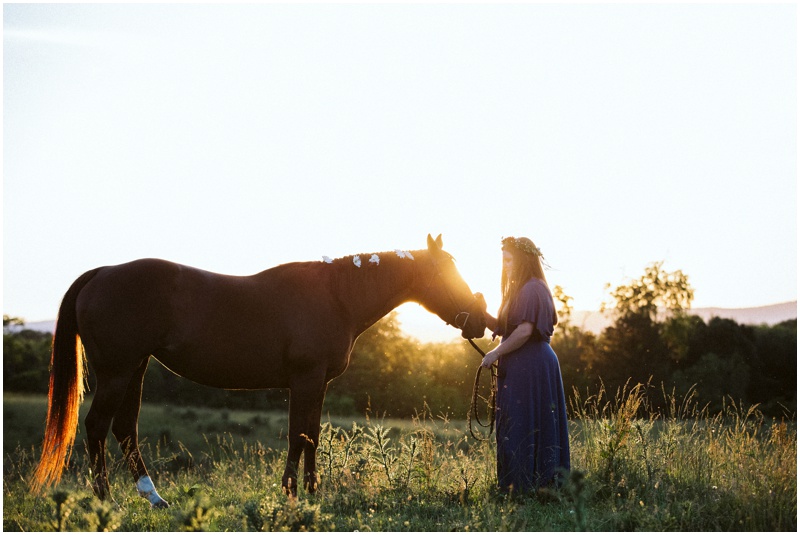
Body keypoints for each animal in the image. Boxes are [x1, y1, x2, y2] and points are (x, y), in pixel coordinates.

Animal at [31, 234, 488, 506]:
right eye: (447, 272)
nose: (481, 320)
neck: (337, 296)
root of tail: (102, 273)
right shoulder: (305, 379)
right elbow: (297, 435)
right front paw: (292, 492)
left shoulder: (316, 383)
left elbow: (310, 435)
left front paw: (310, 491)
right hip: (117, 371)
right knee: (97, 427)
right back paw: (105, 499)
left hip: (135, 369)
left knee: (124, 429)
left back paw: (153, 497)